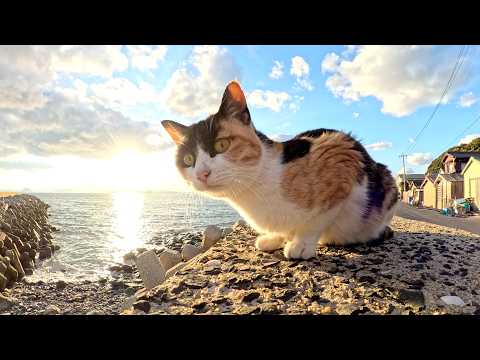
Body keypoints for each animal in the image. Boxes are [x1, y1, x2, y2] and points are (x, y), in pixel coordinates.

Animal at [161, 81, 398, 258]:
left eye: (221, 145)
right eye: (188, 159)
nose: (202, 173)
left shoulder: (340, 156)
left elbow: (316, 220)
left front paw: (301, 244)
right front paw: (274, 238)